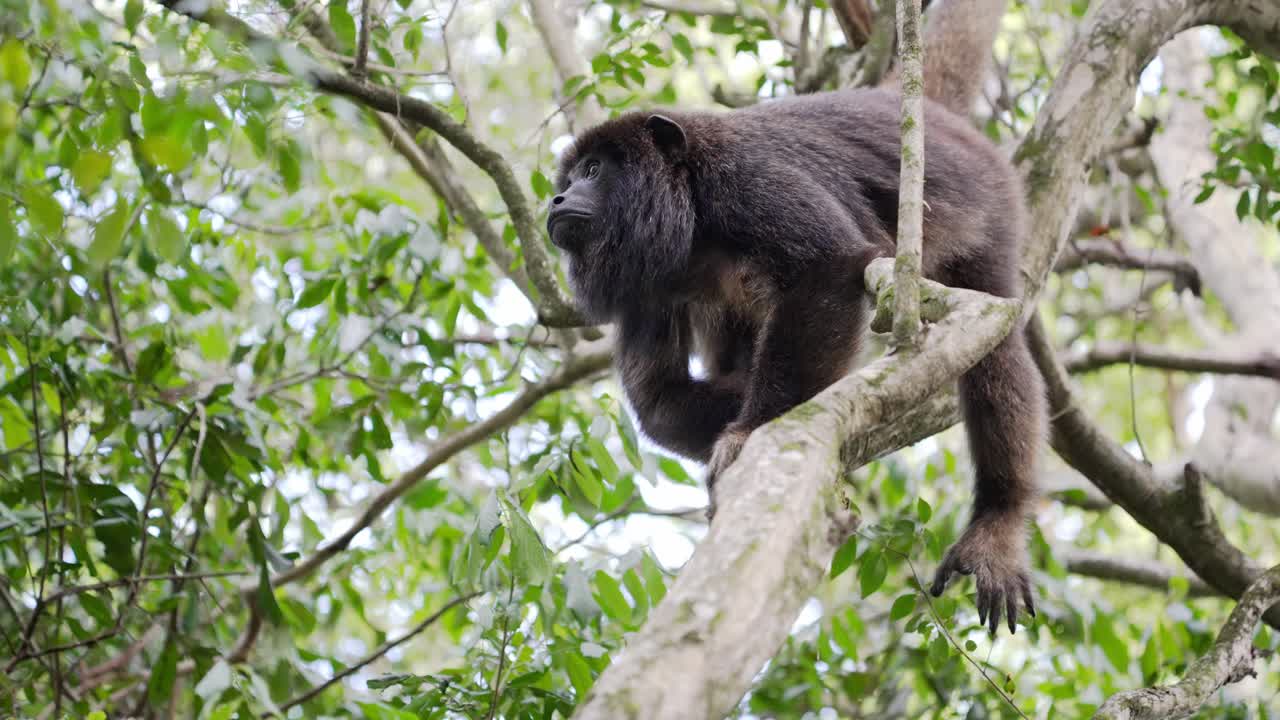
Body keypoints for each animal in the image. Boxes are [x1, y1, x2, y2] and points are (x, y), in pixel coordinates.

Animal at [545, 87, 1044, 630]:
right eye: (569, 180)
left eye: (593, 170)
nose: (557, 199)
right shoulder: (644, 286)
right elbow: (661, 399)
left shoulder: (744, 177)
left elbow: (825, 264)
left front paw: (750, 429)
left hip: (991, 202)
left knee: (996, 344)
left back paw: (998, 522)